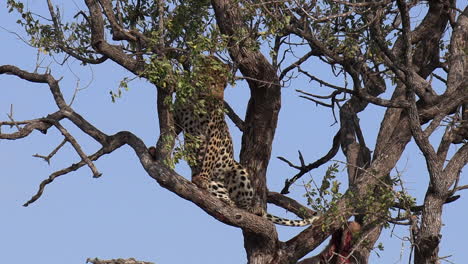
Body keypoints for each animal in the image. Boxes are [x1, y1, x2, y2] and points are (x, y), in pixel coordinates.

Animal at [172, 56, 318, 227]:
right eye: (212, 82)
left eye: (224, 84)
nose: (219, 99)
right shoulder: (178, 117)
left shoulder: (214, 133)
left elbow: (209, 157)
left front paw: (202, 178)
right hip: (217, 185)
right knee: (225, 197)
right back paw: (226, 200)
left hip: (239, 171)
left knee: (243, 203)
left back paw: (253, 209)